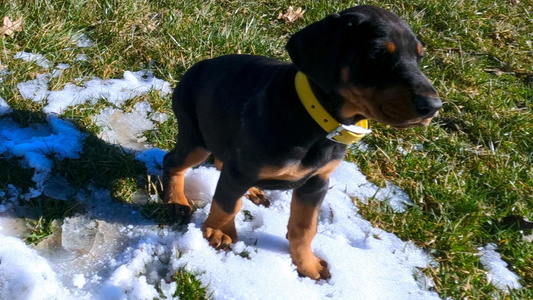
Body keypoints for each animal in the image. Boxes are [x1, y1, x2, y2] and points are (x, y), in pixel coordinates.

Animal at [163, 4, 440, 280]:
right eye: (376, 54)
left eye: (419, 57)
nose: (433, 106)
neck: (316, 120)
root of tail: (197, 67)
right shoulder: (243, 169)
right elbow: (228, 203)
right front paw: (219, 232)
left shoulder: (316, 182)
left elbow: (305, 227)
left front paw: (307, 264)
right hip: (196, 138)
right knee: (174, 162)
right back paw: (177, 202)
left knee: (222, 163)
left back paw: (252, 190)